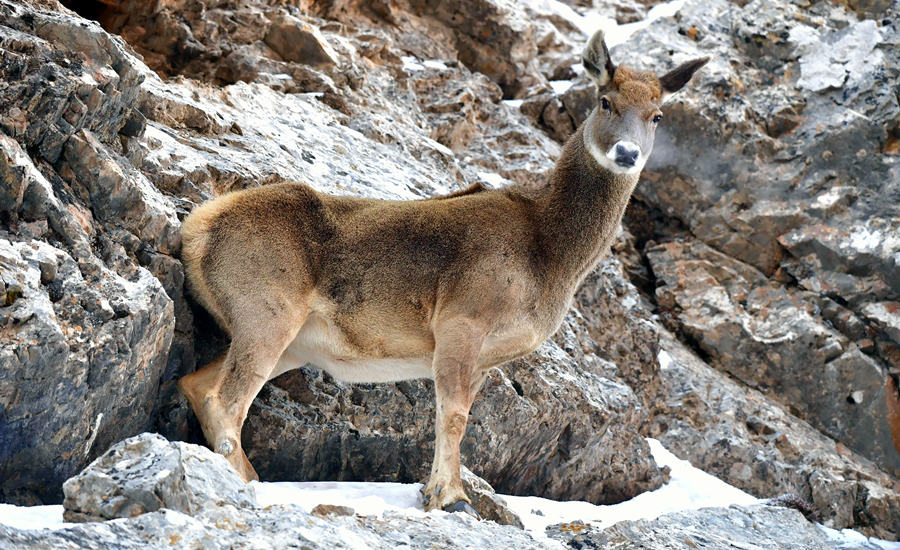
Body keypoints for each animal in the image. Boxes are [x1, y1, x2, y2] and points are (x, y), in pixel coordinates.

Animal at [178, 28, 712, 520]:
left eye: (658, 115)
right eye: (605, 100)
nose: (627, 154)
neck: (550, 254)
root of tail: (198, 228)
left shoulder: (488, 357)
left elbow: (457, 415)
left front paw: (437, 493)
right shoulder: (462, 318)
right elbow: (452, 416)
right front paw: (451, 498)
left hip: (290, 339)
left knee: (197, 385)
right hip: (267, 308)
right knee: (227, 401)